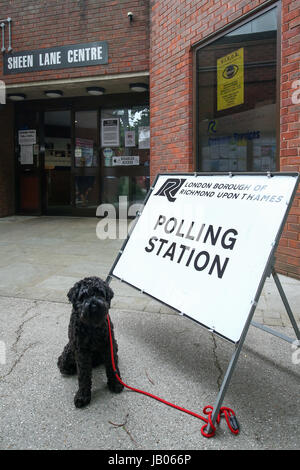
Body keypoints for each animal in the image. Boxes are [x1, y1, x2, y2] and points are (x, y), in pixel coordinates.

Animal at [57, 276, 123, 408]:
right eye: (83, 296)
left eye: (100, 293)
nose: (93, 304)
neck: (92, 326)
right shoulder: (82, 351)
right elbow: (83, 375)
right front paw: (83, 396)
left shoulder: (108, 346)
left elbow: (112, 367)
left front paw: (116, 383)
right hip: (69, 353)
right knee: (62, 363)